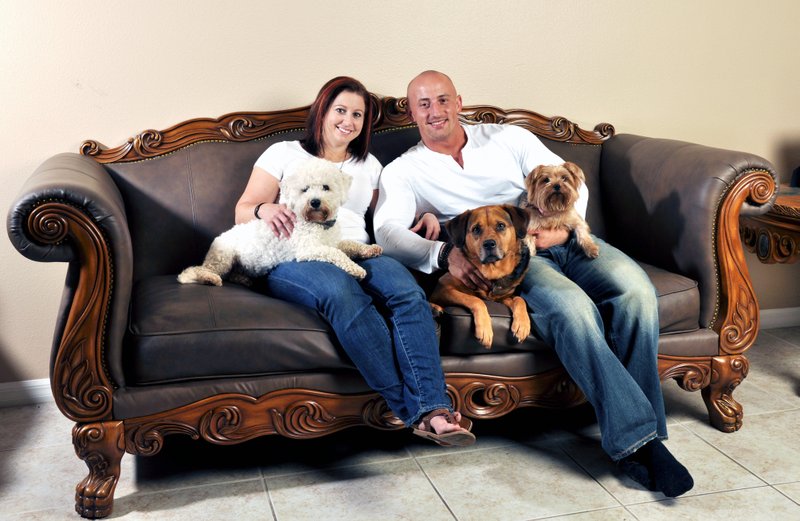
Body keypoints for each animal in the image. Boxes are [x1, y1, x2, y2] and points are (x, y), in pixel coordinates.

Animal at [177, 156, 382, 286]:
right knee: (198, 271)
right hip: (223, 259)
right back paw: (208, 278)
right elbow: (336, 253)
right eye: (305, 189)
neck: (319, 225)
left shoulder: (334, 241)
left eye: (326, 187)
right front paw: (356, 269)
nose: (315, 202)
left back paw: (243, 280)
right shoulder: (309, 248)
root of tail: (219, 237)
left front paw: (369, 249)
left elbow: (349, 244)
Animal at [432, 204, 532, 350]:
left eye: (501, 225)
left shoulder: (502, 298)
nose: (489, 244)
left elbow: (519, 299)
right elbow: (476, 300)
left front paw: (522, 324)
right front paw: (485, 329)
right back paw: (435, 308)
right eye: (476, 229)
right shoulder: (443, 288)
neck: (491, 272)